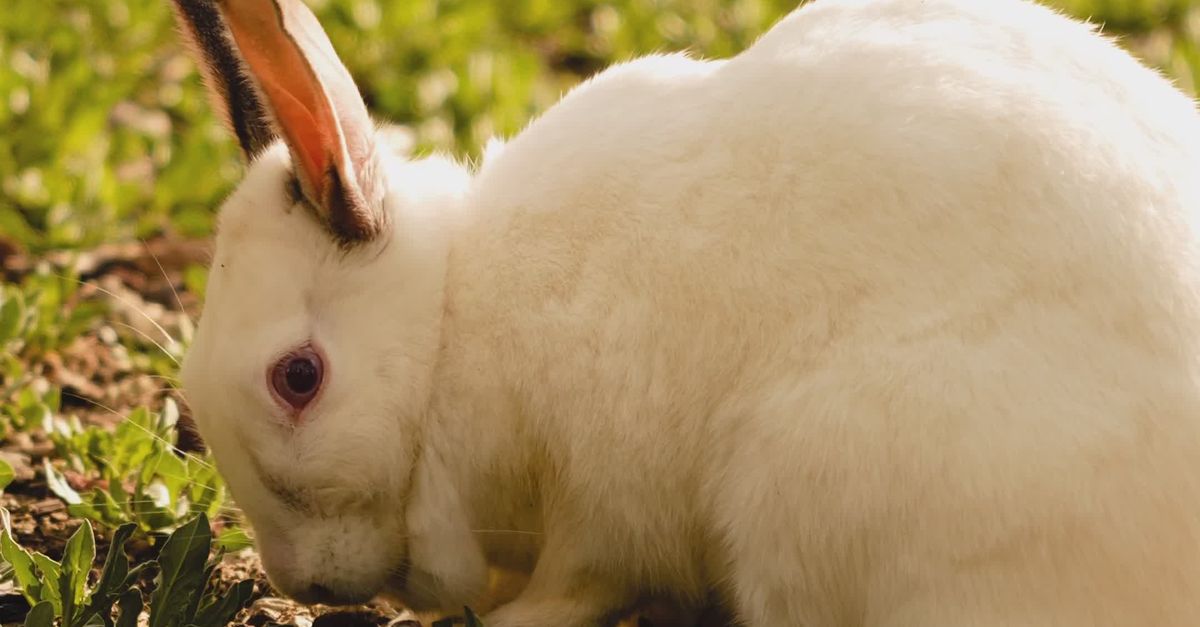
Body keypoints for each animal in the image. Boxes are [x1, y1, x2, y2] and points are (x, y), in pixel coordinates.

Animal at [172, 0, 1200, 624]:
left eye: (299, 378)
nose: (303, 581)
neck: (452, 323)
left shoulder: (607, 493)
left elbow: (581, 580)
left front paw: (508, 617)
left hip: (803, 495)